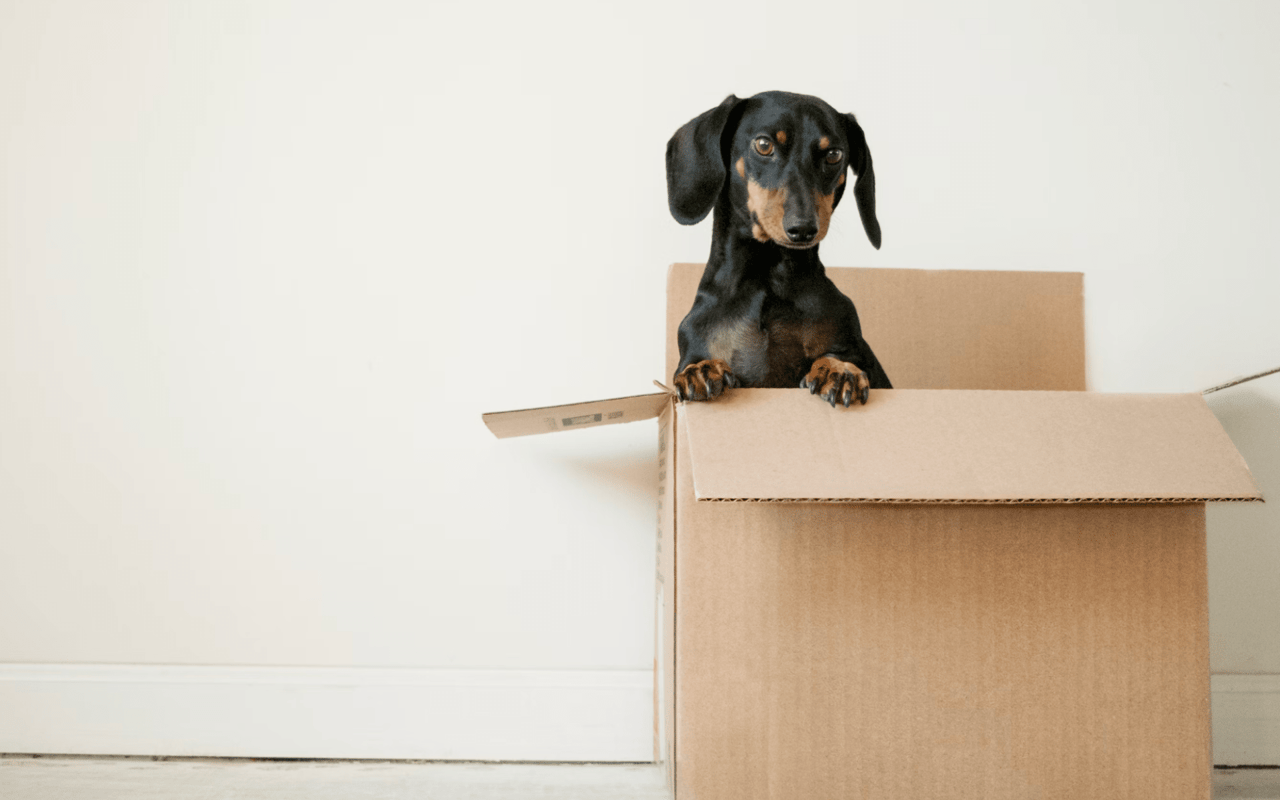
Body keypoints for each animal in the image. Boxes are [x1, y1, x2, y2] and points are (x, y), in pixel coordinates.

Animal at [670, 90, 890, 409]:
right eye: (764, 145)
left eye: (834, 155)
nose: (803, 229)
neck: (768, 278)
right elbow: (695, 362)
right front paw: (701, 369)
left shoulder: (853, 344)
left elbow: (840, 356)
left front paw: (838, 370)